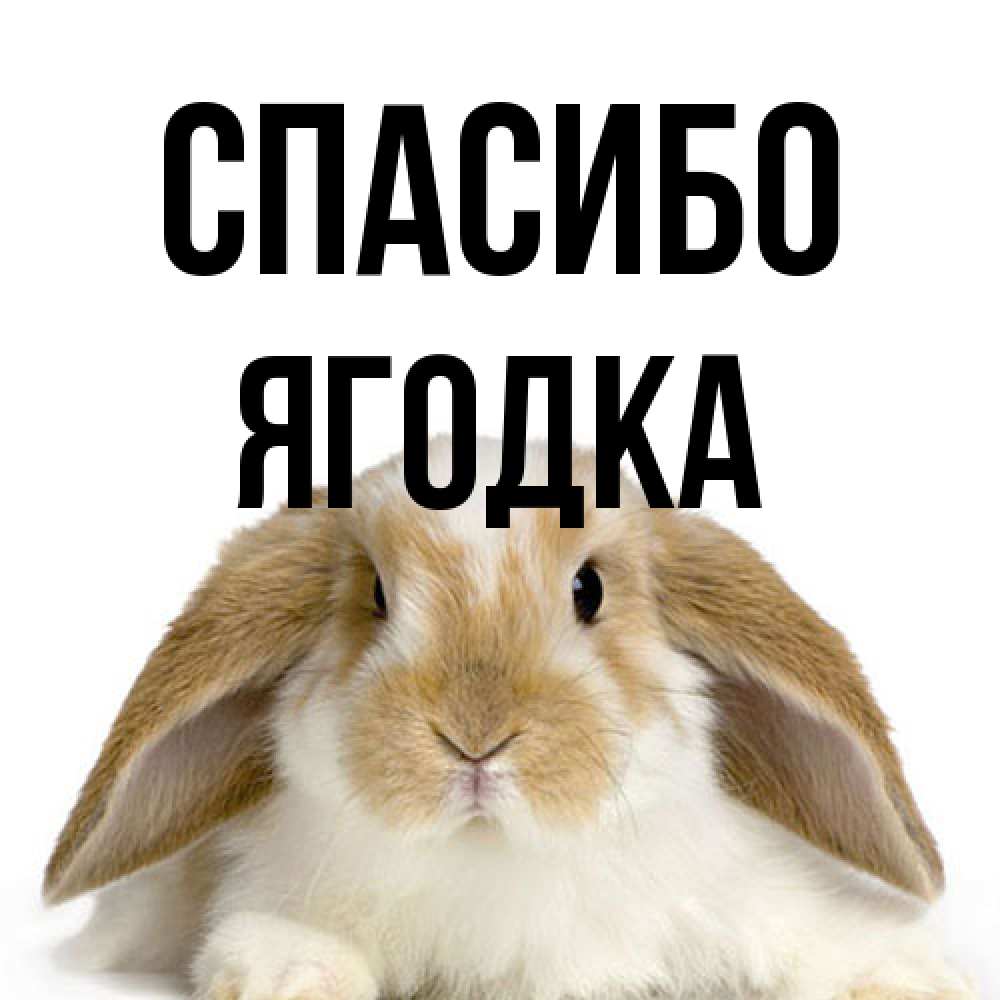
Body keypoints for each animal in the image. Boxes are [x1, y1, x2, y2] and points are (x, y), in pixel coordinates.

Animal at [45, 437, 975, 1000]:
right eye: (376, 595)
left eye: (589, 589)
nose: (475, 737)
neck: (495, 857)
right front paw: (290, 977)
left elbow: (820, 940)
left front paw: (910, 978)